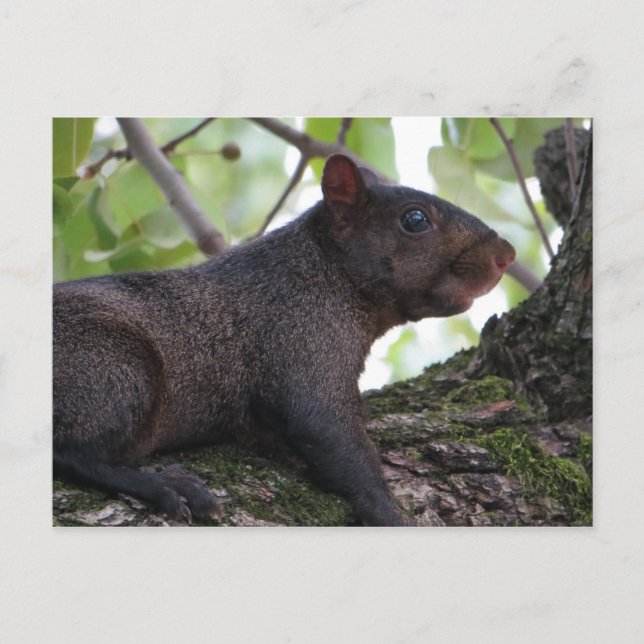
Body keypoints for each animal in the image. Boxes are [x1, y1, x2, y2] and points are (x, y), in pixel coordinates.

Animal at [53, 154, 515, 526]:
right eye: (415, 219)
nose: (506, 255)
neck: (322, 274)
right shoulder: (301, 343)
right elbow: (332, 437)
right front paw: (391, 516)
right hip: (111, 366)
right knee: (75, 454)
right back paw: (170, 487)